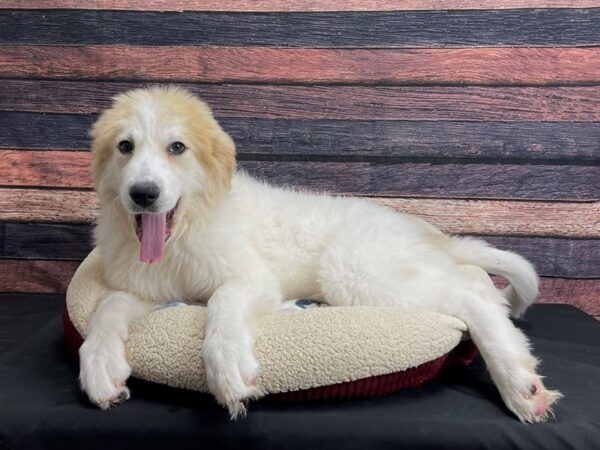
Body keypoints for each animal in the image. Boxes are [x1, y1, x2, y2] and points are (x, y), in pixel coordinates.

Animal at [81, 84, 564, 422]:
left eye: (177, 148)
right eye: (125, 147)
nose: (143, 194)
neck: (181, 238)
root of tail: (427, 232)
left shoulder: (250, 278)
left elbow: (223, 301)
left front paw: (228, 366)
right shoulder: (145, 288)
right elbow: (107, 307)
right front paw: (100, 366)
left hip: (353, 270)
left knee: (471, 293)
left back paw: (518, 383)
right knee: (473, 285)